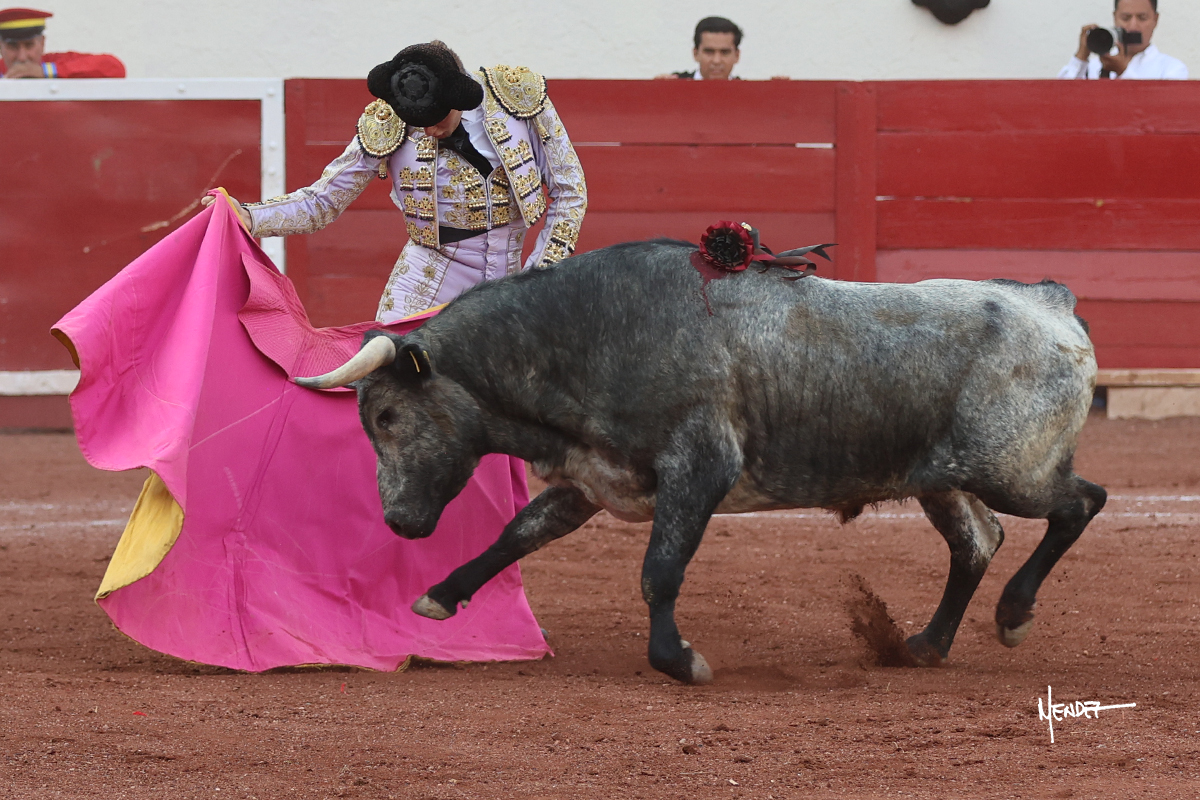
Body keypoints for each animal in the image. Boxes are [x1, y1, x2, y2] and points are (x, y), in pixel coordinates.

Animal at [298, 239, 1106, 685]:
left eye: (386, 416)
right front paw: (441, 595)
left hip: (1011, 470)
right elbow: (517, 534)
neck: (581, 335)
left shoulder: (700, 467)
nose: (399, 522)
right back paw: (927, 646)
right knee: (977, 542)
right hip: (943, 478)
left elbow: (660, 569)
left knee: (1079, 503)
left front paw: (680, 661)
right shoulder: (592, 477)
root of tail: (1050, 301)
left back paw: (1013, 615)